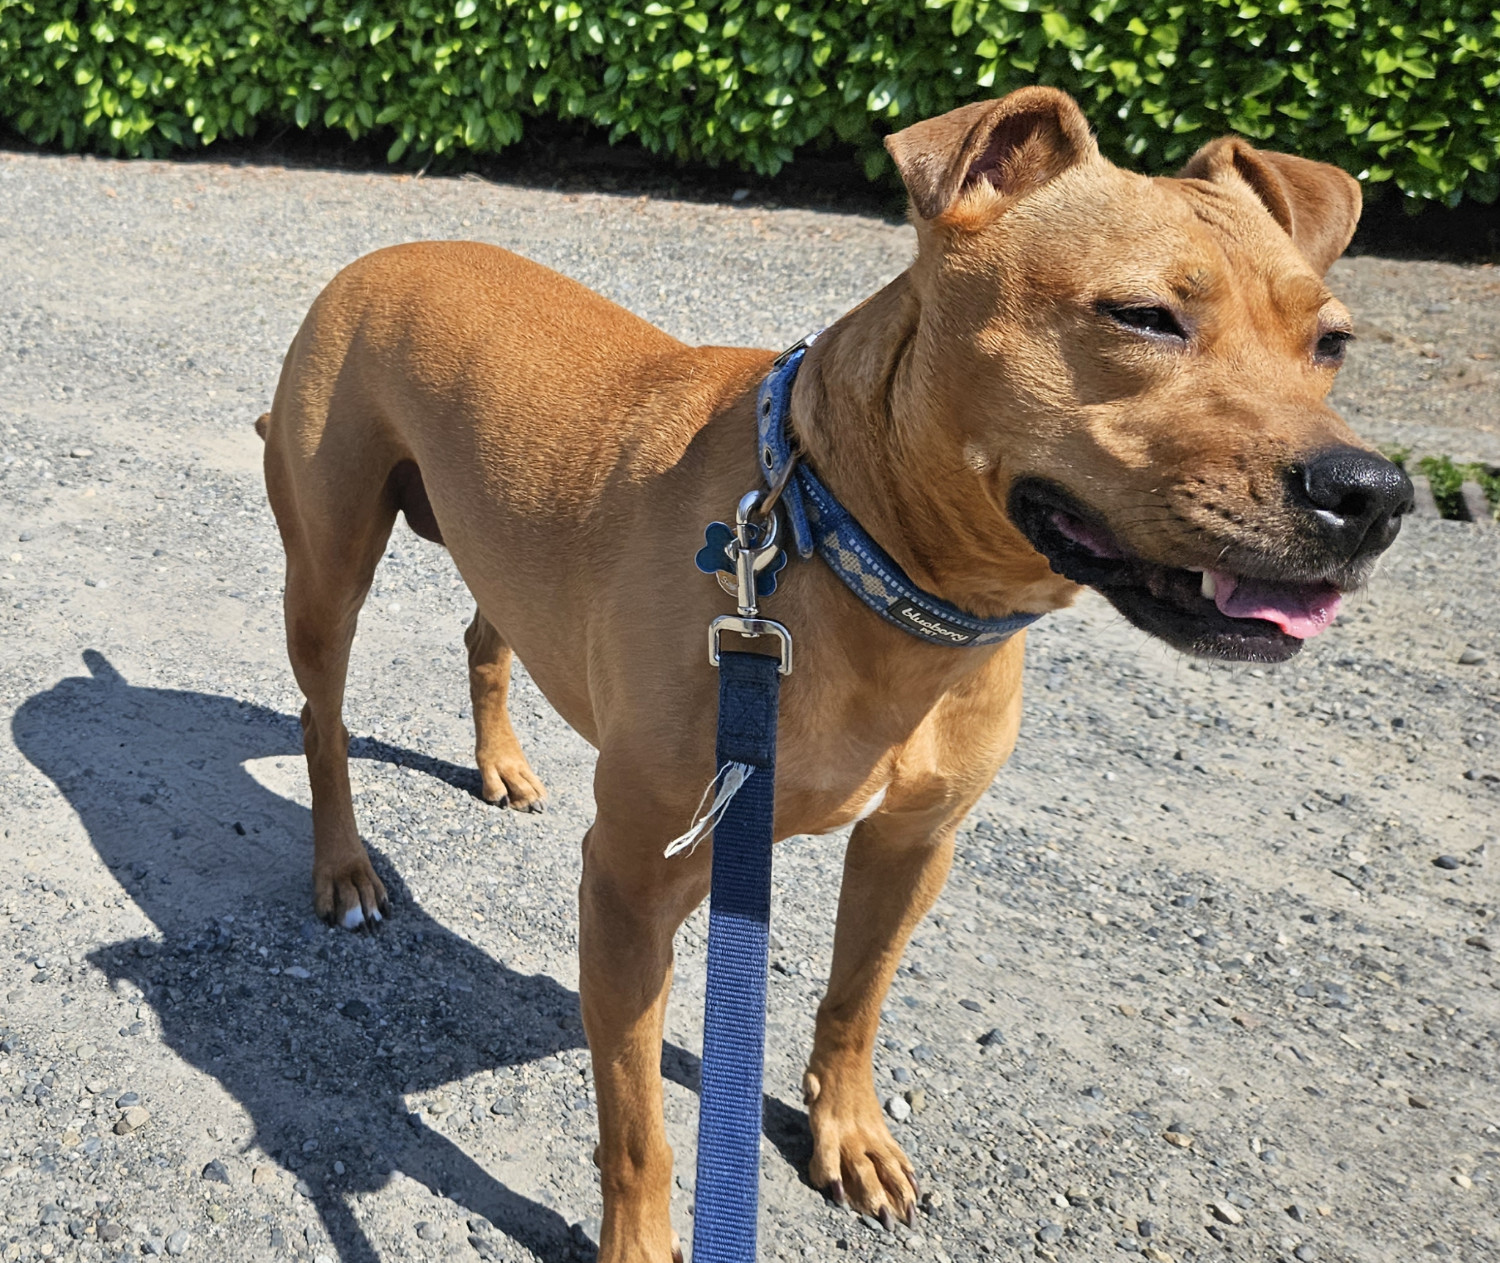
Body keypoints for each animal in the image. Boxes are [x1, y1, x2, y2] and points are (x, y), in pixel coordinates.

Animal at [255, 83, 1404, 1254]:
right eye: (1142, 317)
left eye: (1333, 342)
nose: (1373, 493)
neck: (858, 557)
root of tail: (394, 249)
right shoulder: (630, 887)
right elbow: (638, 1126)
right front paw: (640, 1239)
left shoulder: (913, 844)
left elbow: (855, 1000)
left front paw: (847, 1135)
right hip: (329, 565)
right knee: (320, 717)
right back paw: (345, 870)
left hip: (496, 547)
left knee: (486, 639)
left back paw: (500, 765)